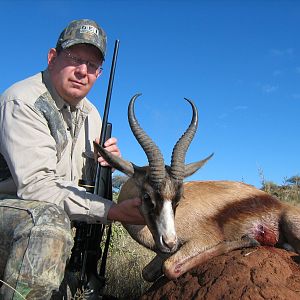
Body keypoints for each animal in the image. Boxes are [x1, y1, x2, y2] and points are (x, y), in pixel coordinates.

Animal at [95, 95, 300, 282]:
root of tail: (280, 204)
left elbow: (170, 267)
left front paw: (248, 239)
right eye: (147, 196)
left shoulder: (203, 239)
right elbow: (147, 273)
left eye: (178, 199)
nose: (169, 242)